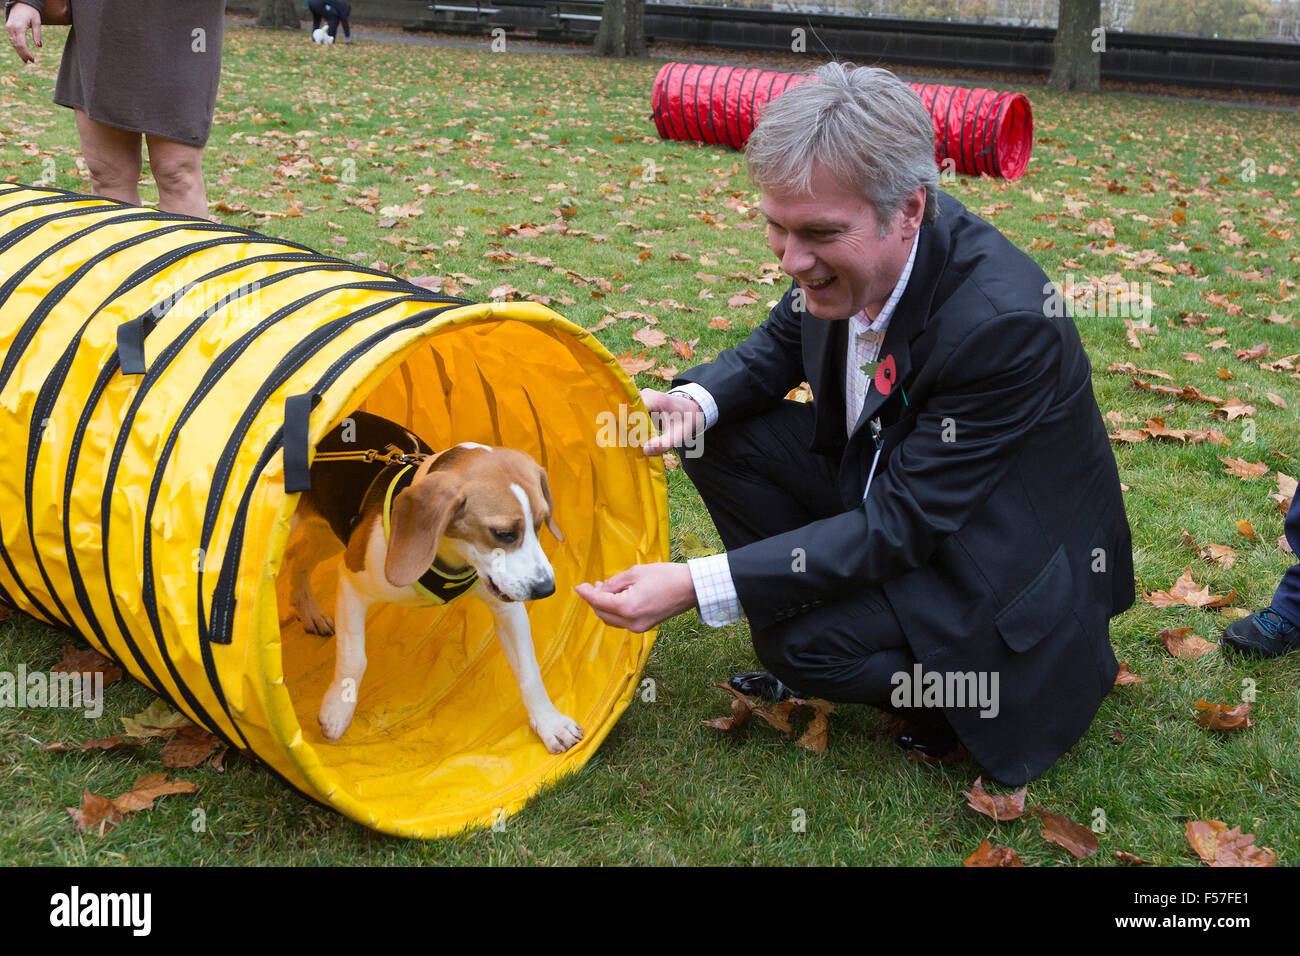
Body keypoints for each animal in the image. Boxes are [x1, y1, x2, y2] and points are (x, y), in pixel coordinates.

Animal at [287, 411, 587, 754]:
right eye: (503, 534)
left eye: (540, 524)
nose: (546, 589)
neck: (450, 556)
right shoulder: (353, 584)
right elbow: (354, 658)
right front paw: (338, 711)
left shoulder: (507, 609)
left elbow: (530, 670)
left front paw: (550, 723)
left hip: (328, 535)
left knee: (297, 556)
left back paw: (309, 612)